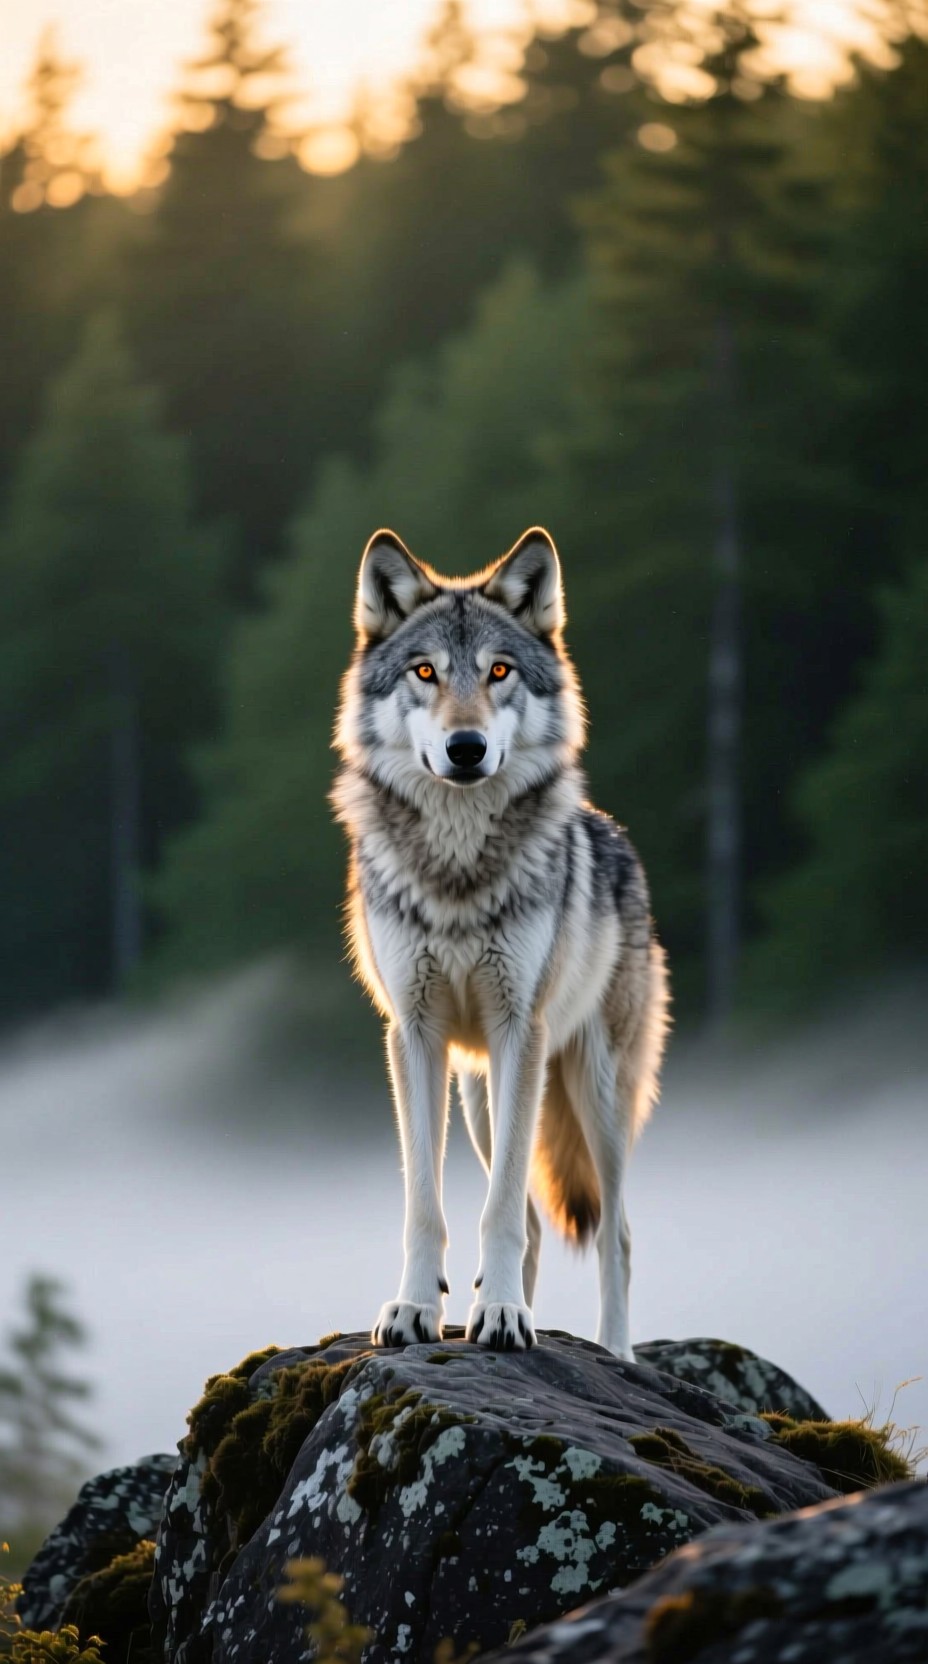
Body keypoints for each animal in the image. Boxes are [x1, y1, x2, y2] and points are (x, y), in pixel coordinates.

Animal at [332, 526, 669, 1359]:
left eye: (499, 671)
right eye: (425, 671)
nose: (466, 747)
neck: (457, 873)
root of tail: (618, 839)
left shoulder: (522, 1028)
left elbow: (503, 1211)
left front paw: (506, 1318)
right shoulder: (413, 1035)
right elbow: (429, 1205)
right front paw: (416, 1310)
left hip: (595, 1091)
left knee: (614, 1233)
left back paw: (613, 1352)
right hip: (483, 1095)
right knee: (533, 1222)